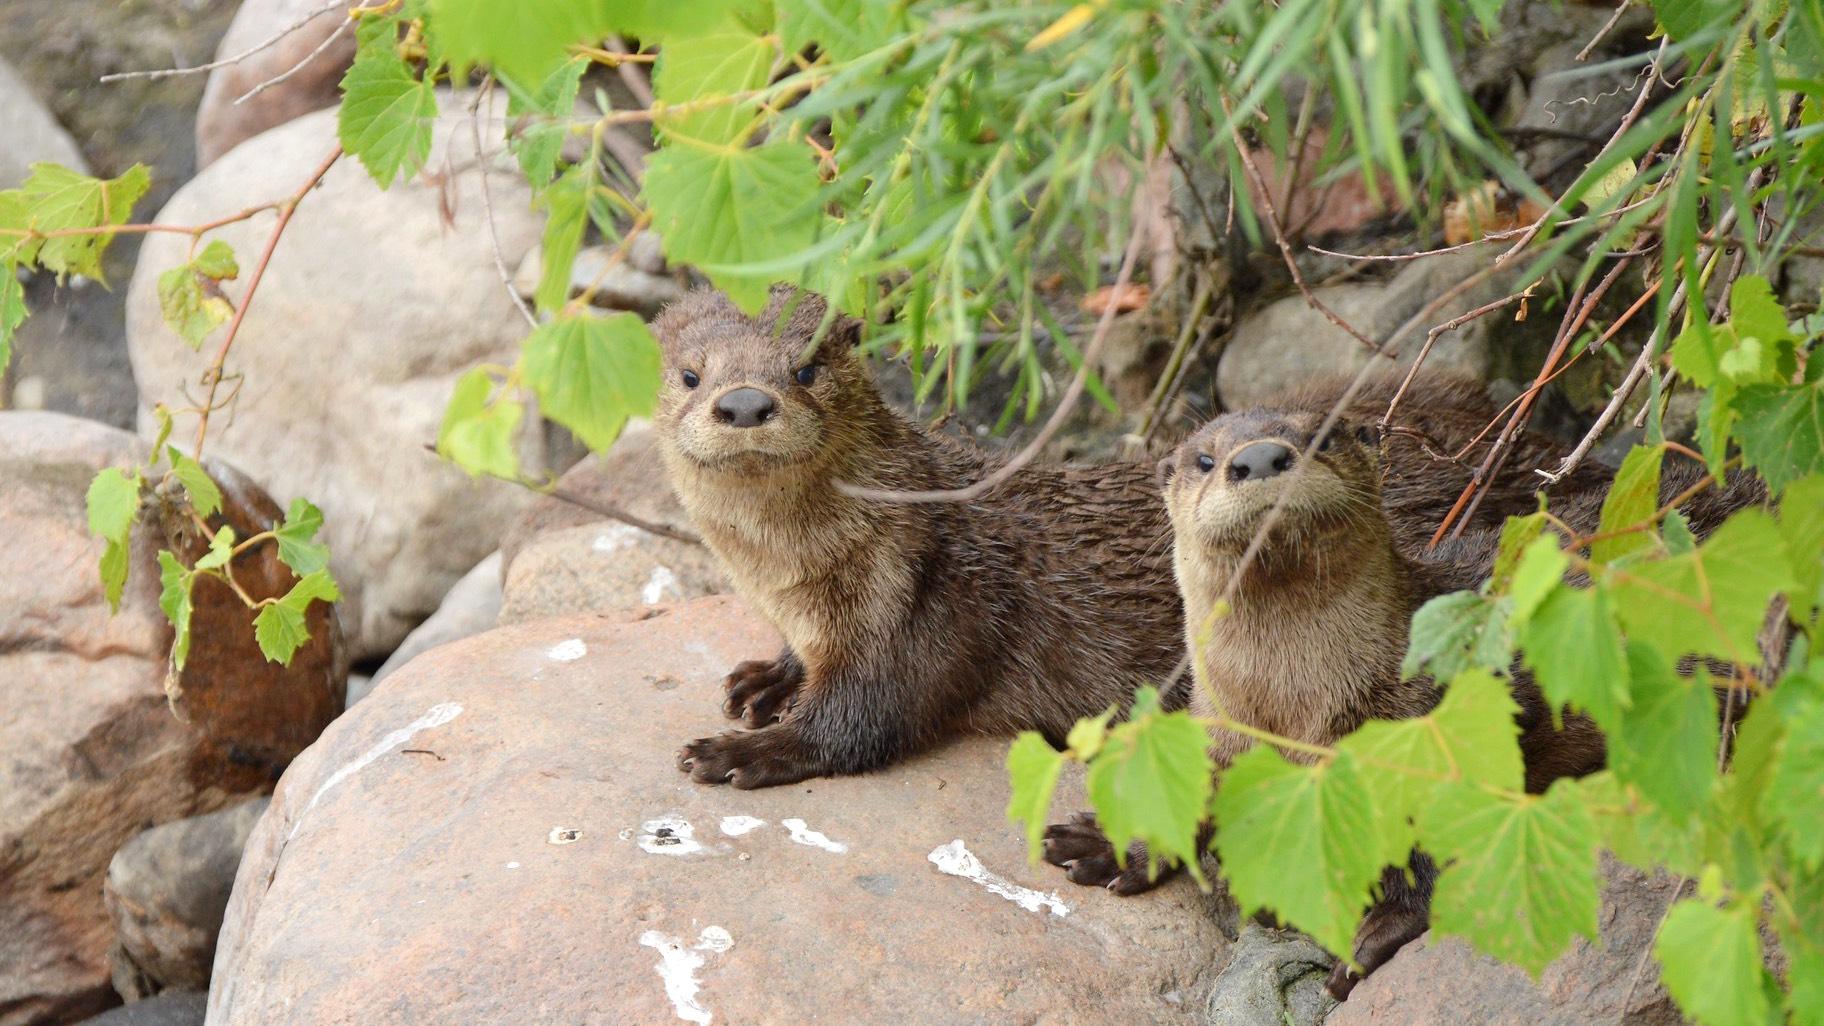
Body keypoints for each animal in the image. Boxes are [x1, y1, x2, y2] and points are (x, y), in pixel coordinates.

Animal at [1043, 387, 1765, 993]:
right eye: (1205, 458)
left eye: (1322, 435)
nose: (1260, 457)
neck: (1294, 712)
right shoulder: (1223, 729)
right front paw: (1107, 840)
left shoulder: (1424, 730)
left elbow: (1426, 842)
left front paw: (1373, 936)